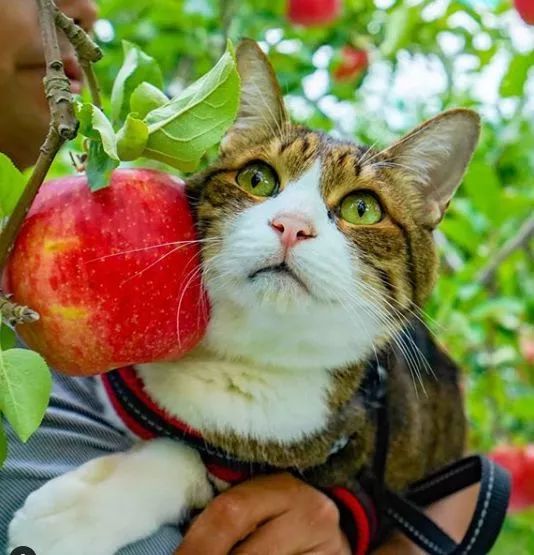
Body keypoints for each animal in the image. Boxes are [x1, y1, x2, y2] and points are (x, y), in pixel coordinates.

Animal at [7, 40, 482, 555]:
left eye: (362, 208)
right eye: (258, 179)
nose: (292, 225)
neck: (241, 364)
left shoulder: (332, 457)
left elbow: (186, 459)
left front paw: (77, 513)